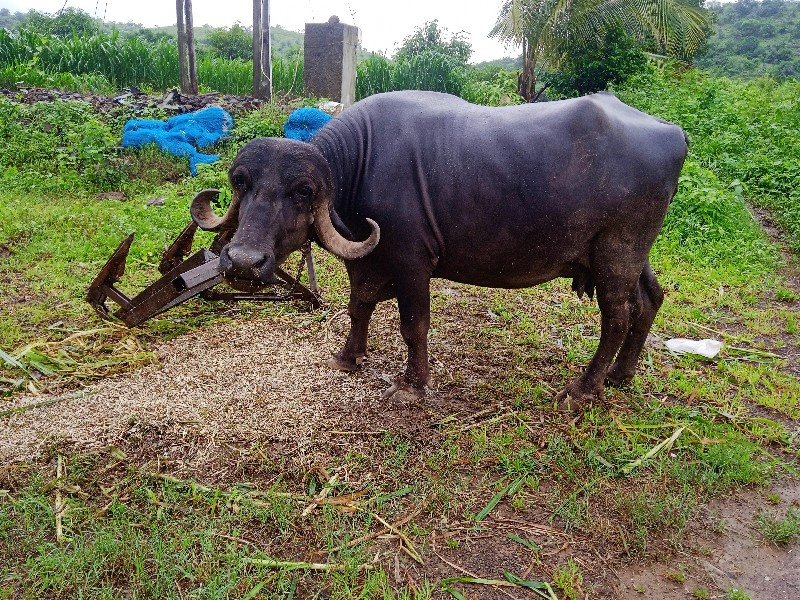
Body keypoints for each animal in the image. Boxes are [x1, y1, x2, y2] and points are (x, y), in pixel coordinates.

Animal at [192, 91, 688, 410]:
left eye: (302, 192)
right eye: (242, 183)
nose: (243, 262)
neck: (362, 163)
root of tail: (673, 133)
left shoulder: (412, 262)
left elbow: (414, 325)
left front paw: (412, 386)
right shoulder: (367, 259)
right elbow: (359, 305)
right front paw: (349, 357)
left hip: (617, 251)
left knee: (617, 315)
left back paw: (585, 388)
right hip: (631, 254)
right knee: (650, 299)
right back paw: (621, 375)